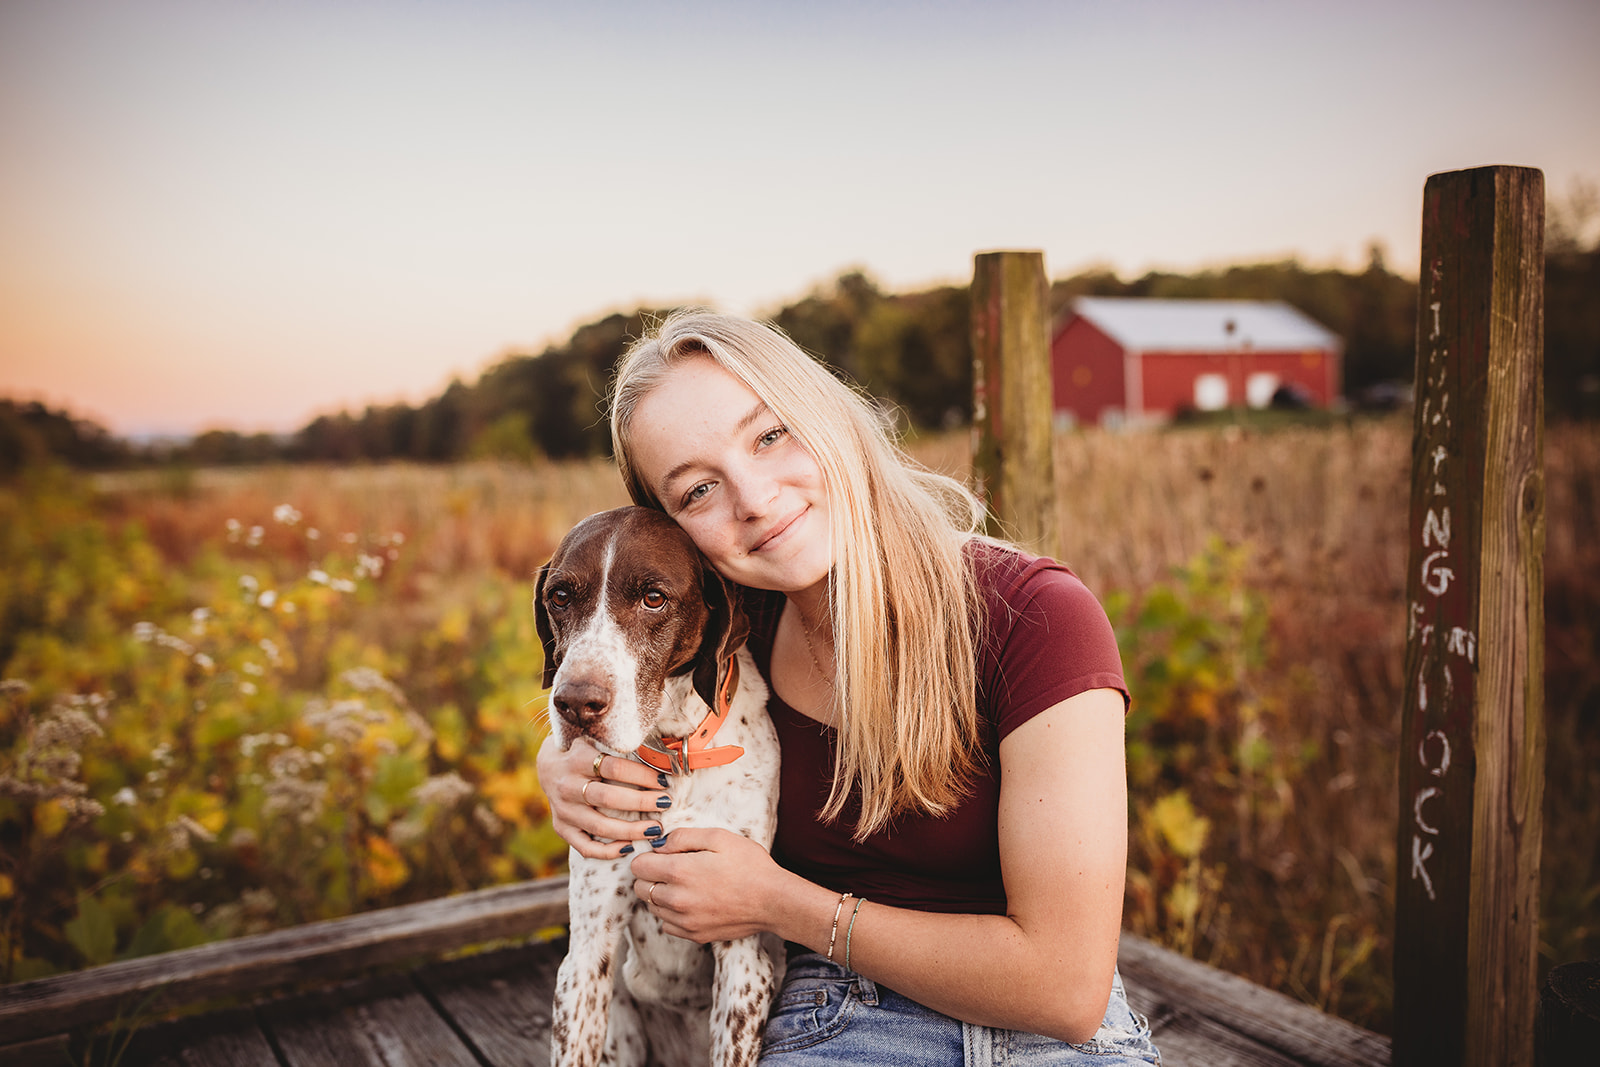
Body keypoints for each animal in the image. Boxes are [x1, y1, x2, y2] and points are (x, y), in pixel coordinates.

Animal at [537, 508, 780, 1067]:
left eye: (653, 597)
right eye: (559, 596)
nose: (575, 703)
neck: (674, 757)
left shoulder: (743, 963)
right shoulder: (585, 959)